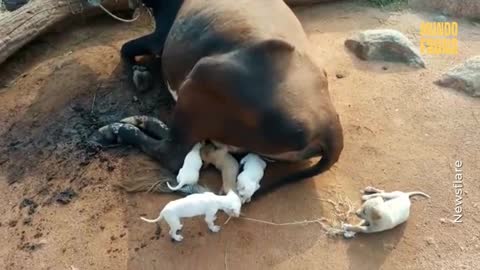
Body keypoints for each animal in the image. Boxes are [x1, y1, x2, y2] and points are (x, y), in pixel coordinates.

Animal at [99, 0, 344, 197]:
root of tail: (330, 129)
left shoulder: (161, 35)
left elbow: (126, 47)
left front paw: (139, 74)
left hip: (202, 77)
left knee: (172, 152)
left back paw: (118, 130)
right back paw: (137, 121)